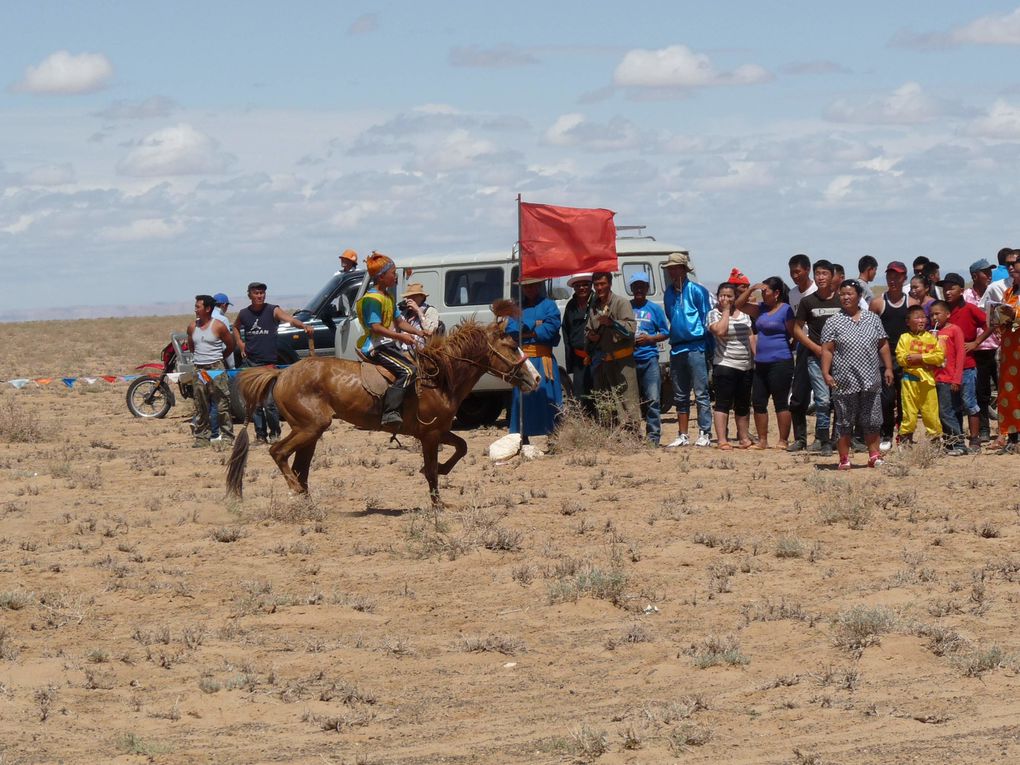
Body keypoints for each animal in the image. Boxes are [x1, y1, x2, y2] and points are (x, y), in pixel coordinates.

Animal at [226, 301, 538, 505]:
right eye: (512, 347)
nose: (535, 378)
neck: (440, 377)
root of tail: (282, 373)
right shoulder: (429, 435)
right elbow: (433, 471)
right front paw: (436, 504)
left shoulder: (438, 430)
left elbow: (460, 448)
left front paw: (439, 479)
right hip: (309, 427)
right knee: (278, 453)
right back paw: (296, 491)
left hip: (310, 432)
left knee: (300, 467)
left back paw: (306, 502)